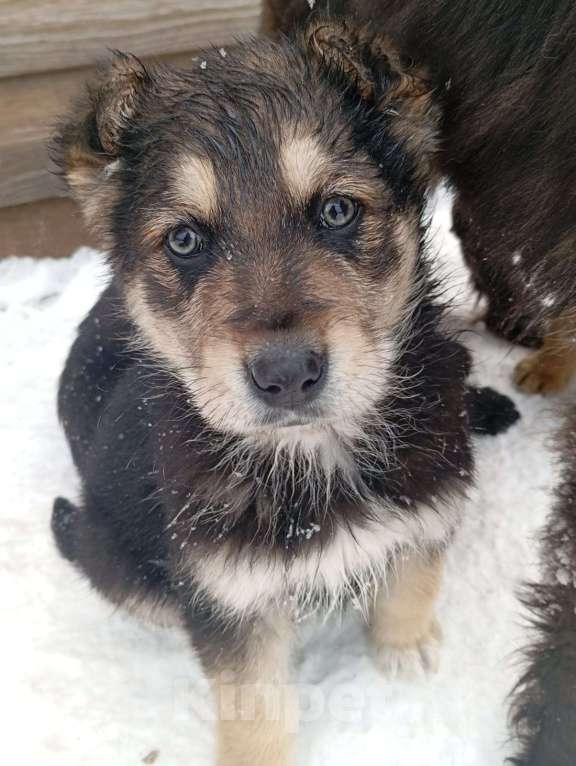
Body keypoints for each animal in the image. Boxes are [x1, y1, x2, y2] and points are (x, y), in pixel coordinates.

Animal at [49, 19, 516, 766]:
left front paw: (404, 646)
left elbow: (416, 574)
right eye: (185, 240)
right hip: (110, 551)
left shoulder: (432, 500)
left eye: (336, 210)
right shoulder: (225, 596)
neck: (315, 456)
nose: (287, 374)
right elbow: (254, 707)